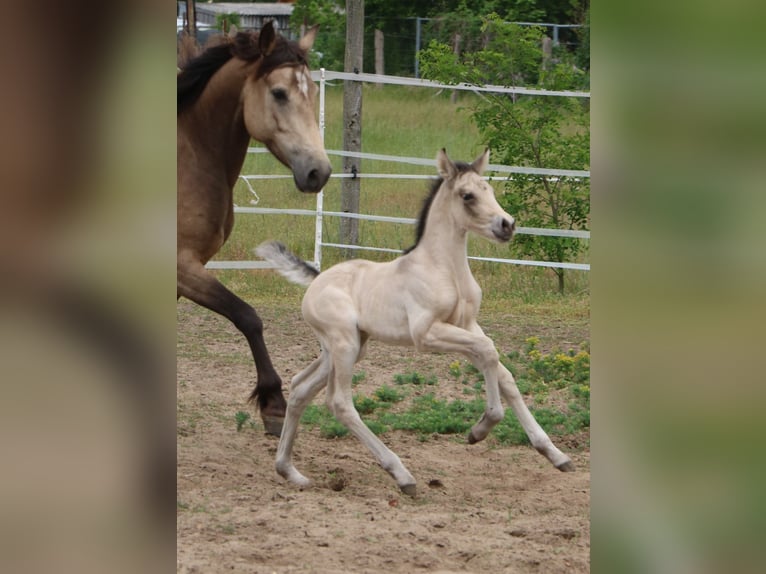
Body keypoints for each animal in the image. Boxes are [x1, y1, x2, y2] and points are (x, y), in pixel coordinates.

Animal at [178, 21, 332, 436]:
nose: (319, 171)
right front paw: (274, 404)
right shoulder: (181, 266)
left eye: (313, 92)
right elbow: (248, 316)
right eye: (279, 93)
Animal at [258, 148, 576, 496]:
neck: (445, 269)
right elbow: (488, 351)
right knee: (339, 402)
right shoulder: (427, 334)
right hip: (344, 344)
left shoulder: (466, 325)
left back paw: (289, 471)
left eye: (489, 189)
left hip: (347, 347)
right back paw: (402, 474)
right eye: (467, 195)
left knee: (300, 388)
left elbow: (501, 372)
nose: (507, 225)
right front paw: (482, 427)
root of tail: (316, 279)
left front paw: (555, 454)